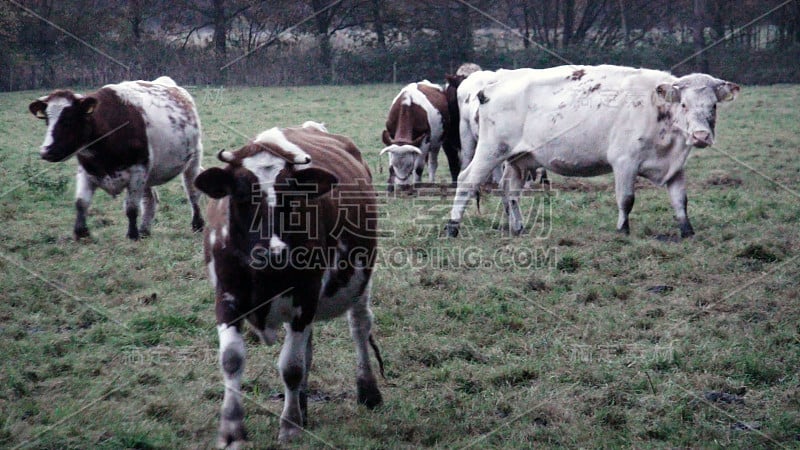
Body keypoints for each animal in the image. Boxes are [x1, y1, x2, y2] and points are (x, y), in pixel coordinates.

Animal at [28, 75, 205, 241]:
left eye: (69, 119)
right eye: (47, 120)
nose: (46, 151)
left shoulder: (138, 170)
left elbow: (131, 208)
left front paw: (132, 235)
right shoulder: (86, 171)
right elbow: (81, 203)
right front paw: (81, 233)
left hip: (193, 160)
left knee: (192, 192)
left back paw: (197, 224)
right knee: (150, 199)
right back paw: (145, 230)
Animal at [192, 123, 382, 446]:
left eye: (291, 195)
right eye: (241, 193)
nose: (273, 252)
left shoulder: (305, 297)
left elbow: (291, 366)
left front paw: (290, 425)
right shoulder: (227, 297)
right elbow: (232, 360)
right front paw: (231, 429)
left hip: (359, 281)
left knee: (359, 327)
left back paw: (367, 391)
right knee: (309, 348)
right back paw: (303, 405)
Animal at [444, 66, 736, 239]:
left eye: (713, 106)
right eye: (684, 104)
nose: (701, 136)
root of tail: (493, 82)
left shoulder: (675, 167)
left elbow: (680, 201)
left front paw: (687, 231)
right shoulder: (625, 162)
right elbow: (626, 199)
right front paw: (622, 230)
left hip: (518, 160)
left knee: (510, 192)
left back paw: (518, 227)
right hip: (491, 151)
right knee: (467, 181)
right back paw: (453, 226)